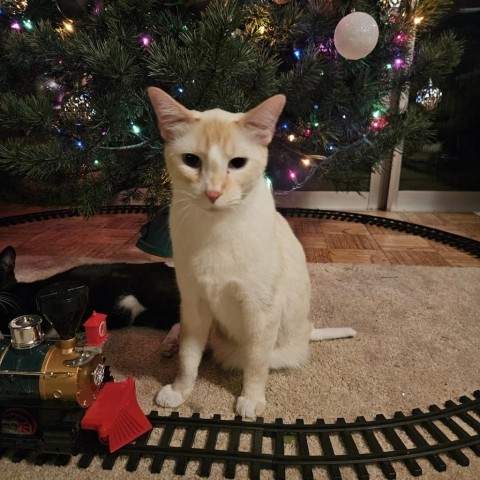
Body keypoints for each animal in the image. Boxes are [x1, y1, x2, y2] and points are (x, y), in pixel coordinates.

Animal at [149, 88, 356, 418]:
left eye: (237, 163)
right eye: (191, 160)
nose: (213, 193)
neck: (216, 229)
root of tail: (306, 332)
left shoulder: (261, 310)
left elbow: (256, 364)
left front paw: (251, 400)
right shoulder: (194, 303)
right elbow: (188, 358)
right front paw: (180, 391)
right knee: (180, 333)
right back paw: (169, 345)